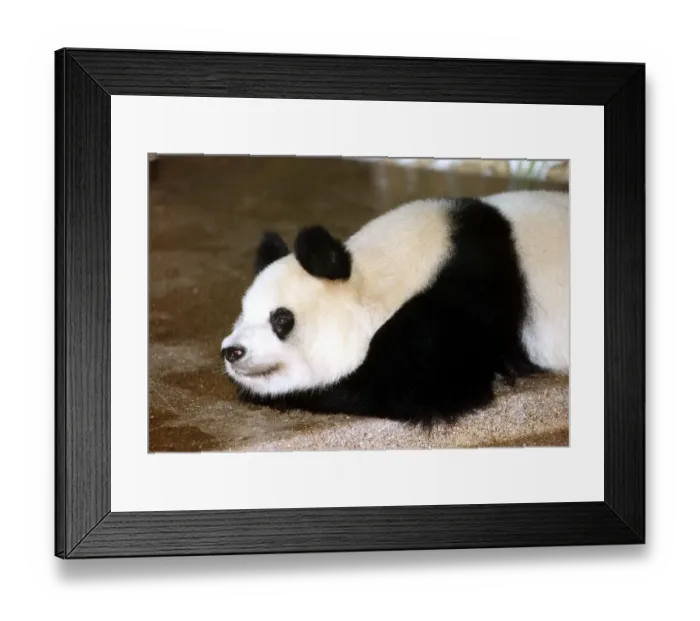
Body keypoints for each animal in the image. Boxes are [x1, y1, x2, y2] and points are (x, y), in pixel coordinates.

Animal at [220, 190, 569, 426]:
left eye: (282, 320)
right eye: (243, 313)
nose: (232, 351)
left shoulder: (461, 301)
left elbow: (419, 387)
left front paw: (295, 395)